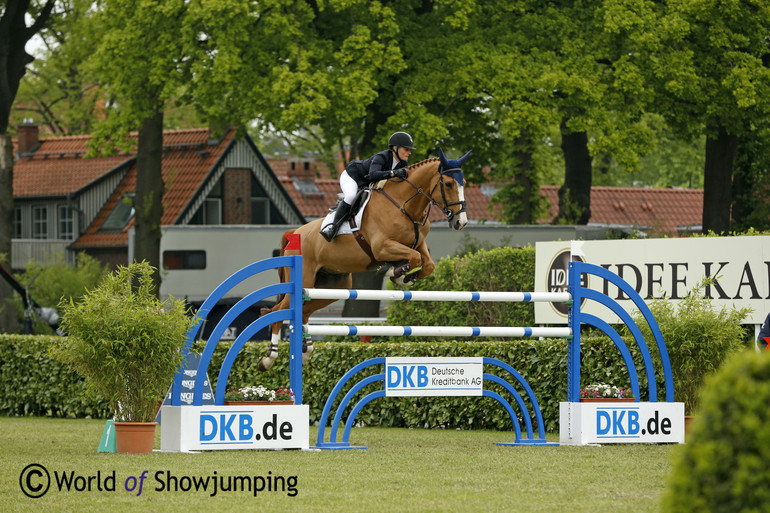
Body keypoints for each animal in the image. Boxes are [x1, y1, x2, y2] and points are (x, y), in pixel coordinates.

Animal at [258, 150, 472, 370]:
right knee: (278, 310)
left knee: (304, 311)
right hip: (306, 280)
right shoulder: (381, 247)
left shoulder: (418, 242)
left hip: (332, 287)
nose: (461, 222)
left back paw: (306, 352)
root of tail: (295, 233)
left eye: (463, 182)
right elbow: (414, 258)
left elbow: (427, 263)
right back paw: (268, 358)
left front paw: (402, 275)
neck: (404, 205)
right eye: (448, 184)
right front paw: (394, 272)